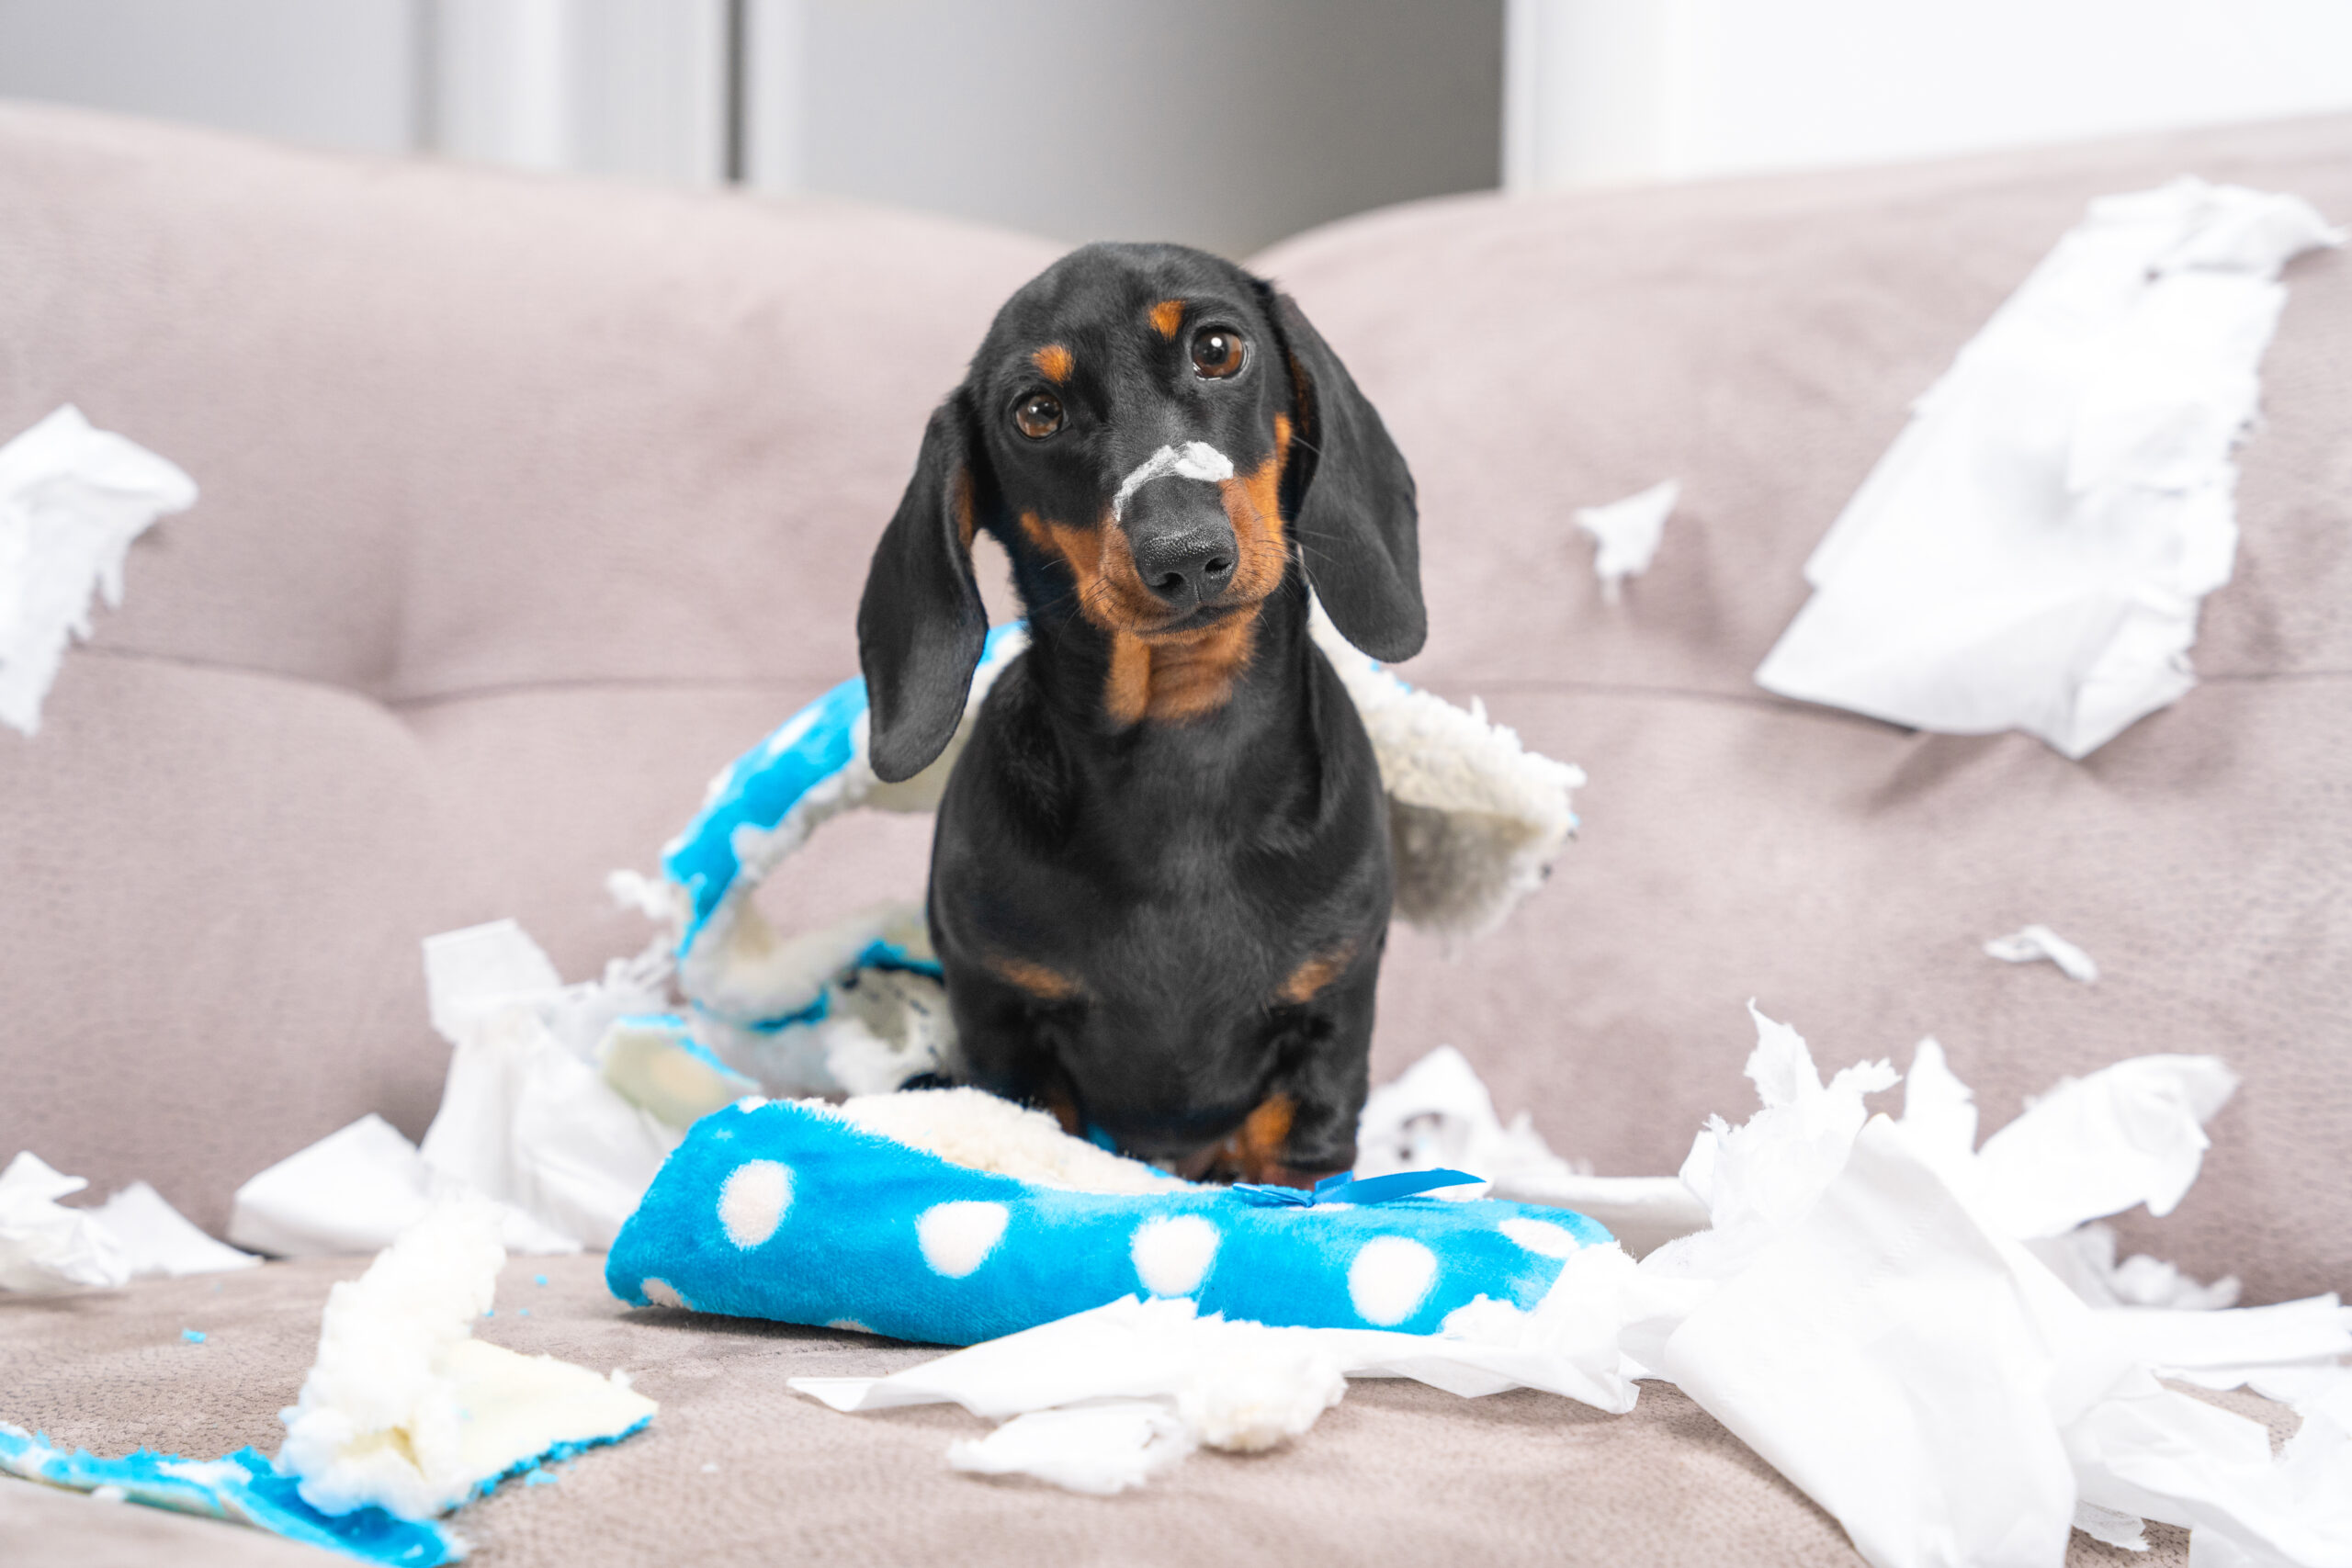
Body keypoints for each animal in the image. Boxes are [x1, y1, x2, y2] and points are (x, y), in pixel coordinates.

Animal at [860, 240, 1420, 1184]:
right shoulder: (1005, 1026)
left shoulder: (1329, 1029)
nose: (1185, 555)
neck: (1181, 752)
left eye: (1219, 349)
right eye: (1037, 412)